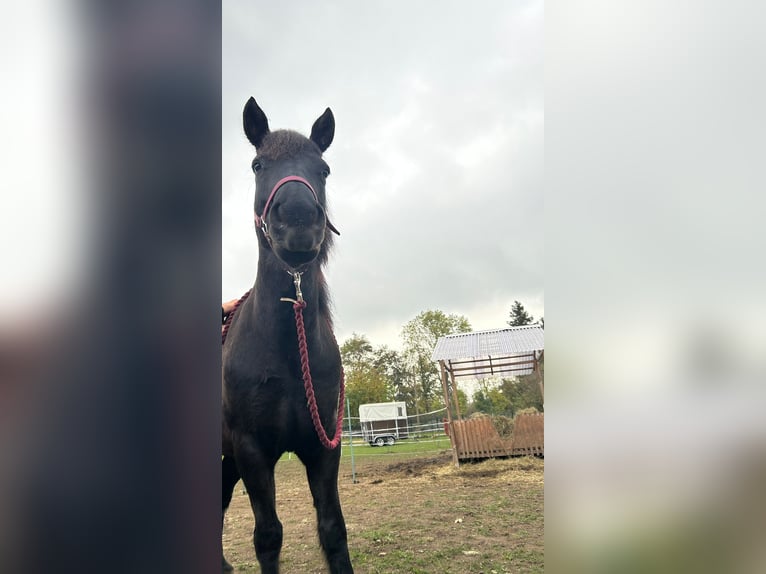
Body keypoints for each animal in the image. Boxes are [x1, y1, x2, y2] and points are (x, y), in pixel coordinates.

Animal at [220, 100, 356, 574]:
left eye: (324, 169)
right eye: (258, 164)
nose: (298, 221)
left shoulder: (324, 447)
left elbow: (333, 529)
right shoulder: (252, 451)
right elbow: (268, 536)